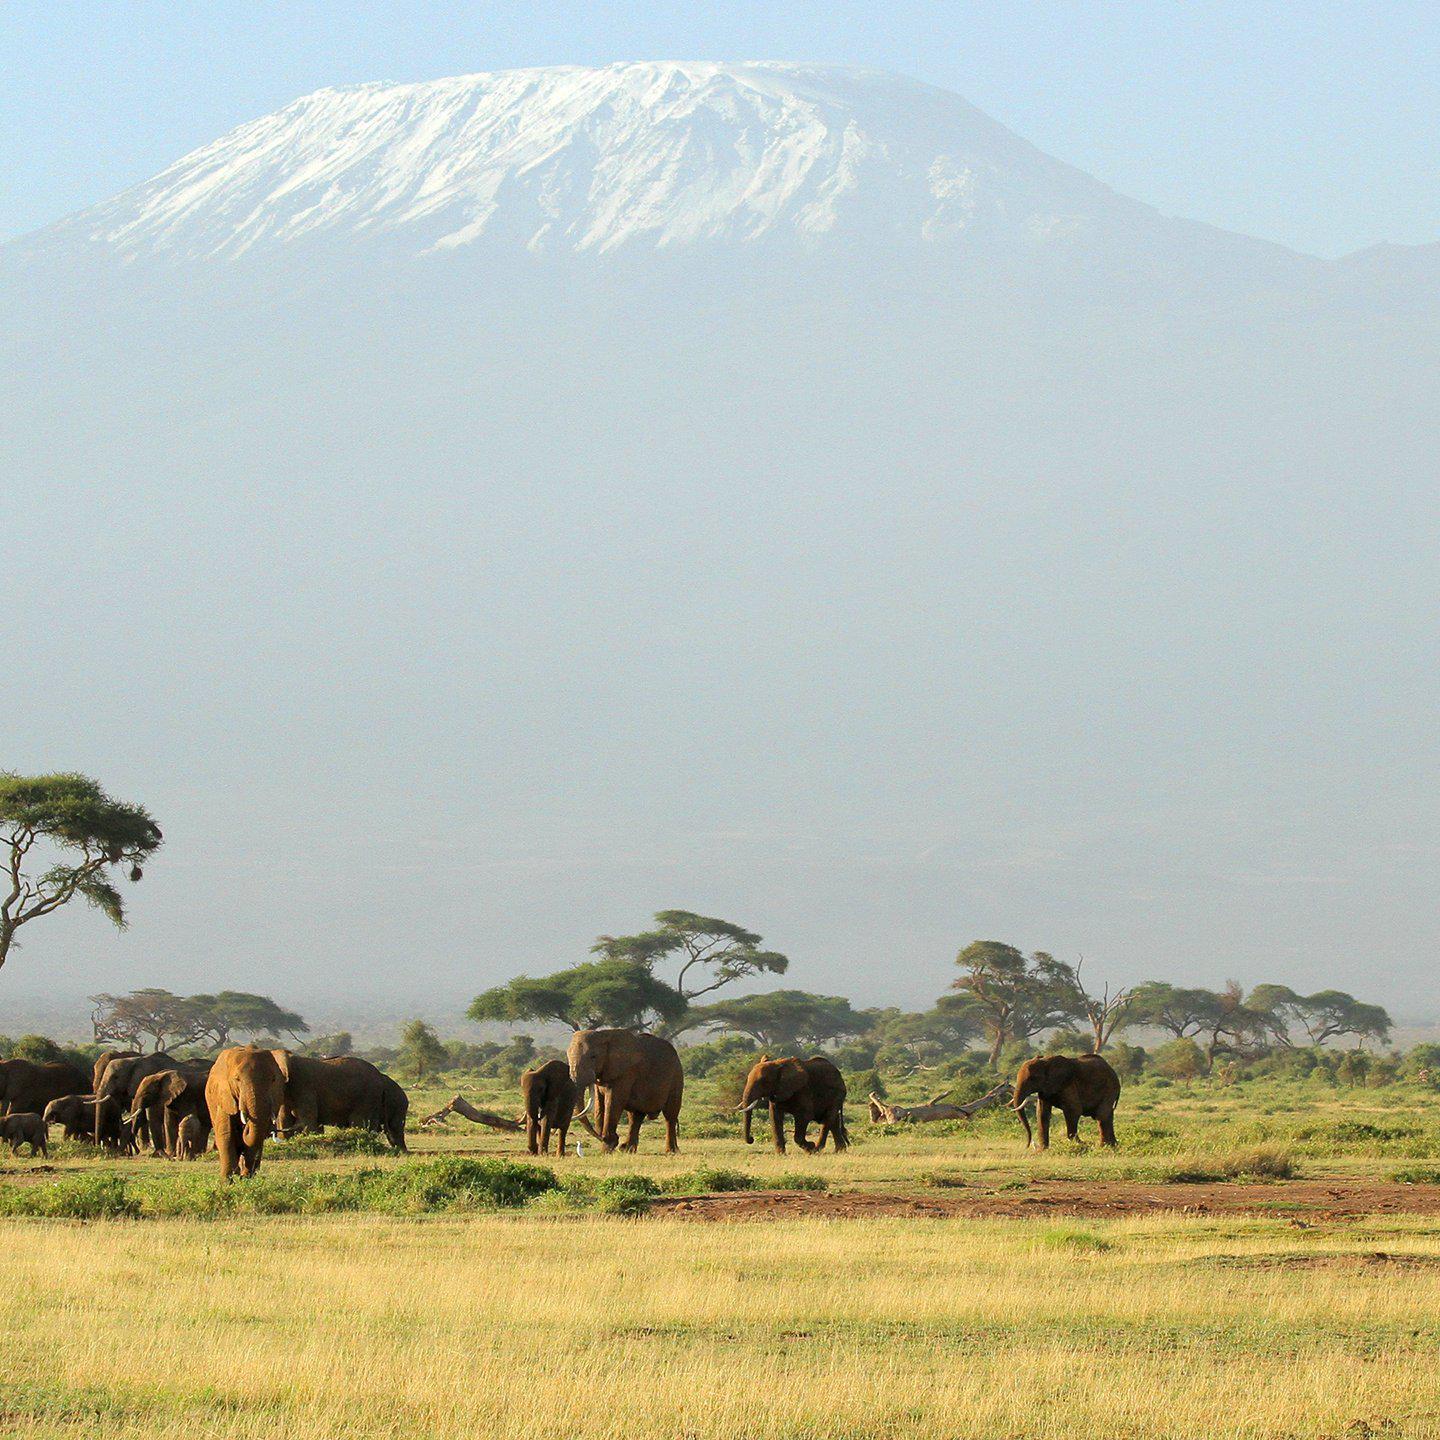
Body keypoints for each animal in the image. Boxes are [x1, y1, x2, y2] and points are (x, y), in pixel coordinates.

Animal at [205, 1048, 286, 1180]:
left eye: (273, 1080)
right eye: (237, 1079)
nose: (245, 1124)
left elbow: (256, 1137)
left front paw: (246, 1178)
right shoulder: (224, 1095)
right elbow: (226, 1133)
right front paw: (227, 1180)